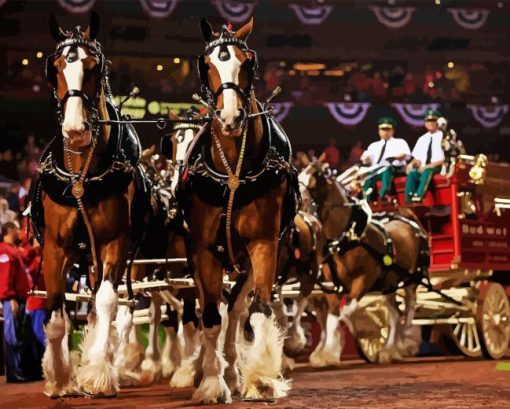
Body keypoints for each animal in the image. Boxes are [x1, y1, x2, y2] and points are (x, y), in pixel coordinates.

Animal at [178, 17, 298, 400]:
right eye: (207, 64)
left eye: (248, 63)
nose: (231, 117)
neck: (232, 172)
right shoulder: (203, 250)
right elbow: (210, 317)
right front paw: (210, 383)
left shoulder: (263, 243)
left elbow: (257, 311)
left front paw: (259, 378)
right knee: (213, 307)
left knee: (236, 308)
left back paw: (233, 371)